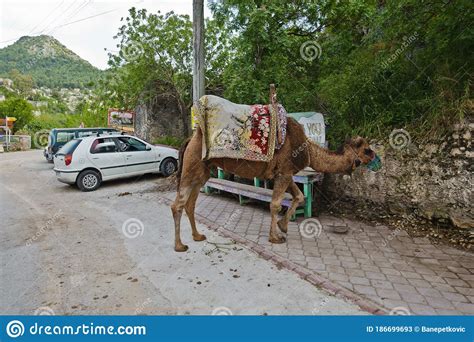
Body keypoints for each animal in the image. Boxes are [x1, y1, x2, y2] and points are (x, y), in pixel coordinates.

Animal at [172, 115, 376, 251]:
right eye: (367, 149)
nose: (376, 157)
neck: (308, 149)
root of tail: (190, 139)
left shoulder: (285, 173)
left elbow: (299, 196)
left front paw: (283, 226)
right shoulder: (284, 173)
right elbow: (276, 204)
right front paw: (275, 237)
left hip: (202, 171)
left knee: (190, 203)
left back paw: (197, 236)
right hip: (191, 165)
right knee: (178, 205)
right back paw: (180, 246)